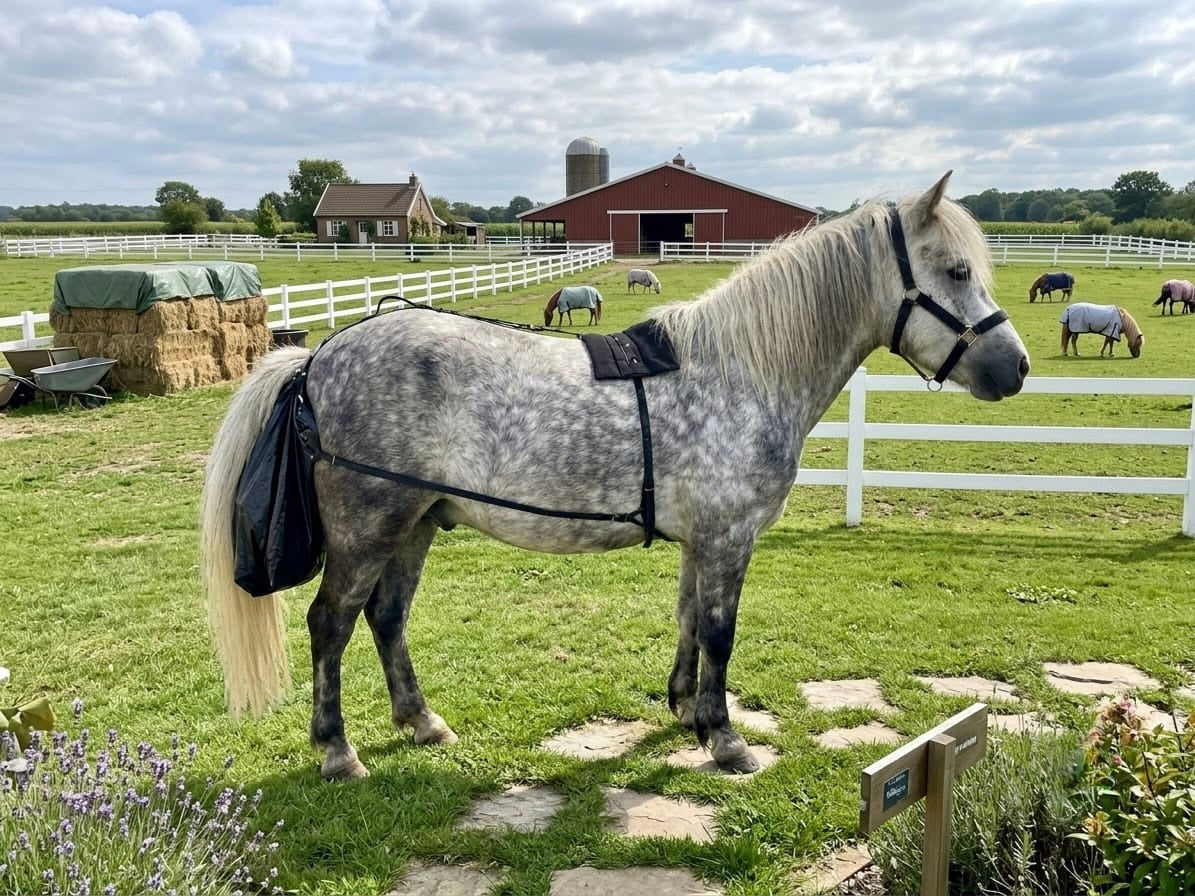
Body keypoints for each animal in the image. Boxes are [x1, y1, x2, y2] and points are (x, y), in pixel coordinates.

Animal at [200, 171, 1029, 780]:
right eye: (955, 270)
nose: (1015, 367)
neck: (738, 371)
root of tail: (318, 356)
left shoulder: (702, 542)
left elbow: (689, 621)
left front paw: (685, 712)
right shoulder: (728, 539)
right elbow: (720, 633)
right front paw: (726, 739)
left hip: (414, 525)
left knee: (386, 618)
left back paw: (421, 722)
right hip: (367, 526)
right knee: (330, 625)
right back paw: (338, 752)